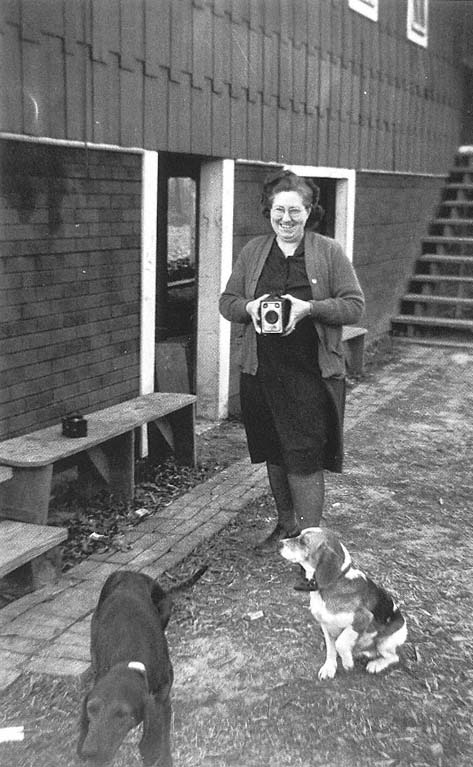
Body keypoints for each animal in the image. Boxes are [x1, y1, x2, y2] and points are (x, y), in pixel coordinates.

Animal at [78, 568, 206, 764]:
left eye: (122, 714)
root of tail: (129, 571)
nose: (88, 753)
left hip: (165, 608)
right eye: (91, 709)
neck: (128, 660)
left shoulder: (162, 698)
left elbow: (161, 734)